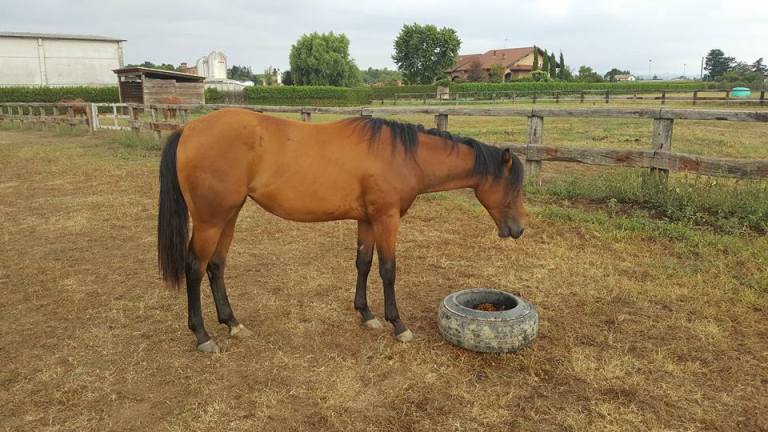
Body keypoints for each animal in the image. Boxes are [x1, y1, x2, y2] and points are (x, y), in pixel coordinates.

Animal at [157, 108, 527, 353]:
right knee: (194, 269)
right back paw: (203, 336)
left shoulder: (367, 220)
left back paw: (233, 324)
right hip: (210, 220)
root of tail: (188, 130)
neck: (402, 156)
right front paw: (398, 325)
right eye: (513, 186)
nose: (519, 229)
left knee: (216, 267)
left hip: (229, 216)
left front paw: (366, 315)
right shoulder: (387, 219)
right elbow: (388, 270)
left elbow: (363, 264)